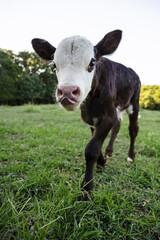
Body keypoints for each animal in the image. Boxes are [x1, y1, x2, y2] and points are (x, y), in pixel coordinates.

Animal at [31, 30, 141, 201]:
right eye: (54, 65)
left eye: (92, 63)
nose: (67, 91)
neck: (91, 103)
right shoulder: (90, 117)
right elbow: (96, 140)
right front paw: (101, 162)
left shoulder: (108, 116)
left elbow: (91, 148)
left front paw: (86, 190)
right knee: (117, 126)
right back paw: (109, 152)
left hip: (134, 103)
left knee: (133, 129)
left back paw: (131, 156)